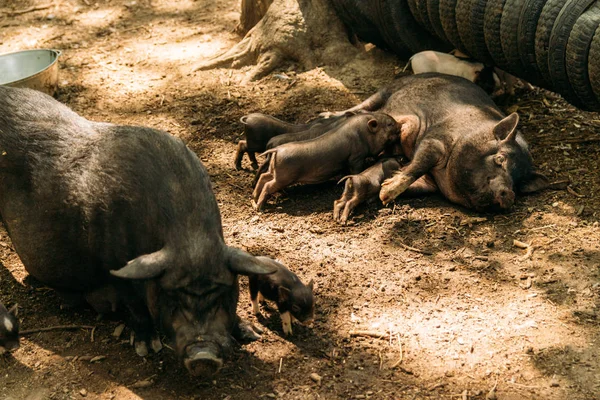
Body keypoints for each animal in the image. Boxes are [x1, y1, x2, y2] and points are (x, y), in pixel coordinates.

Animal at [0, 86, 276, 376]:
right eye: (171, 296)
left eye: (223, 293)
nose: (204, 356)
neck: (191, 239)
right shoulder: (114, 262)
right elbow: (134, 304)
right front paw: (147, 348)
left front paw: (252, 333)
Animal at [324, 73, 548, 209]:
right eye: (500, 159)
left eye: (518, 182)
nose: (508, 194)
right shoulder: (435, 139)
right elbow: (418, 165)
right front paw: (386, 195)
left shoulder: (433, 183)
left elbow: (417, 182)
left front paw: (381, 191)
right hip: (387, 89)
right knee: (363, 106)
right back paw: (325, 115)